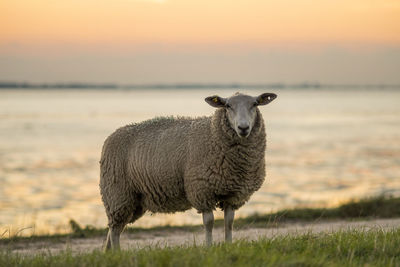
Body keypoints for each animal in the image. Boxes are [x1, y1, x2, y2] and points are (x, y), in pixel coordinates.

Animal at [100, 92, 276, 251]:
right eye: (227, 106)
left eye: (255, 104)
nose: (243, 128)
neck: (212, 133)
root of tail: (112, 135)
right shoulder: (202, 190)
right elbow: (209, 222)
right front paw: (209, 248)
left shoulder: (233, 194)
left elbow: (229, 222)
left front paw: (228, 246)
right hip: (117, 194)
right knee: (115, 229)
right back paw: (117, 253)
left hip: (134, 200)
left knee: (115, 227)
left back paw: (108, 253)